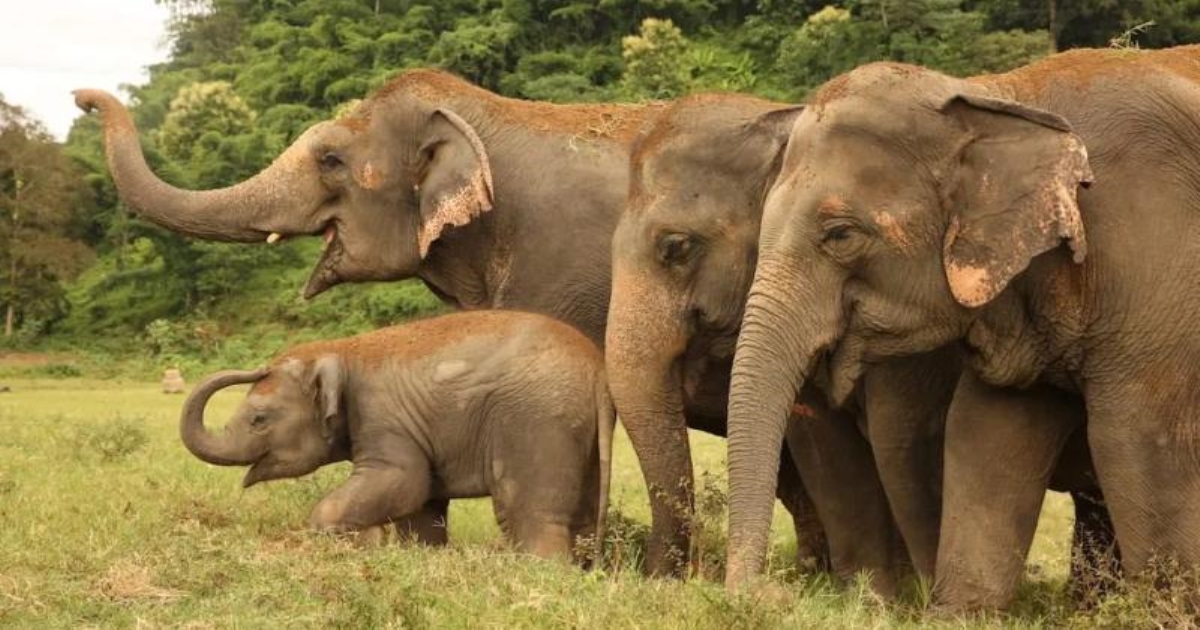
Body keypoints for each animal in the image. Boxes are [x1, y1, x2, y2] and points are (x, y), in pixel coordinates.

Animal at [180, 310, 614, 562]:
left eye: (259, 419)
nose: (257, 366)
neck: (343, 350)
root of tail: (596, 368)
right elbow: (421, 501)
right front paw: (413, 555)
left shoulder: (384, 417)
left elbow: (405, 480)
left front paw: (361, 542)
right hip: (579, 430)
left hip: (535, 421)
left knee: (525, 512)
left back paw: (541, 571)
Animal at [723, 46, 1200, 609]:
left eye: (839, 234)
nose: (767, 594)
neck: (998, 97)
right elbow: (985, 435)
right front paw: (960, 611)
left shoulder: (1159, 264)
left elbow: (1142, 442)